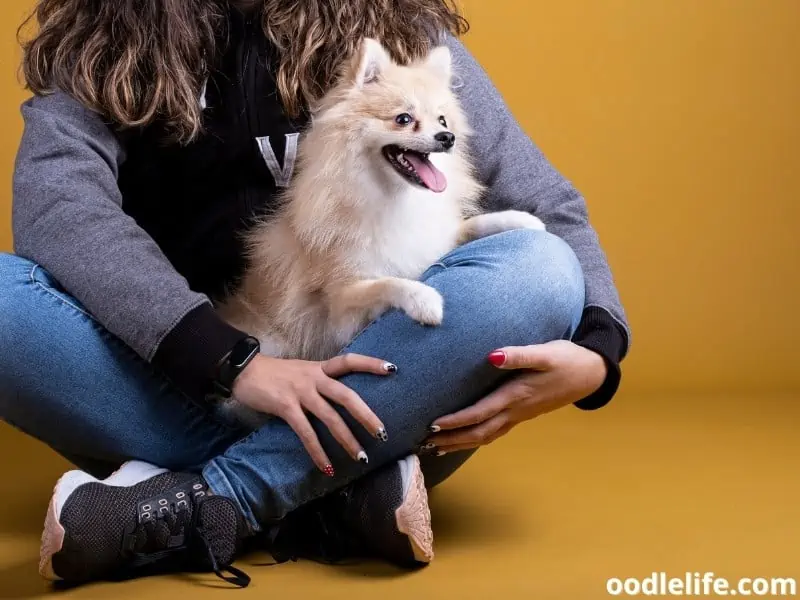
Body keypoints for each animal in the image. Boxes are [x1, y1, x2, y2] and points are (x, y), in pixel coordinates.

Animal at [217, 37, 544, 424]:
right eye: (403, 119)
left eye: (443, 119)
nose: (446, 137)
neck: (396, 198)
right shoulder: (342, 310)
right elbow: (387, 282)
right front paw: (424, 301)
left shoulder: (434, 240)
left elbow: (467, 227)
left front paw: (520, 220)